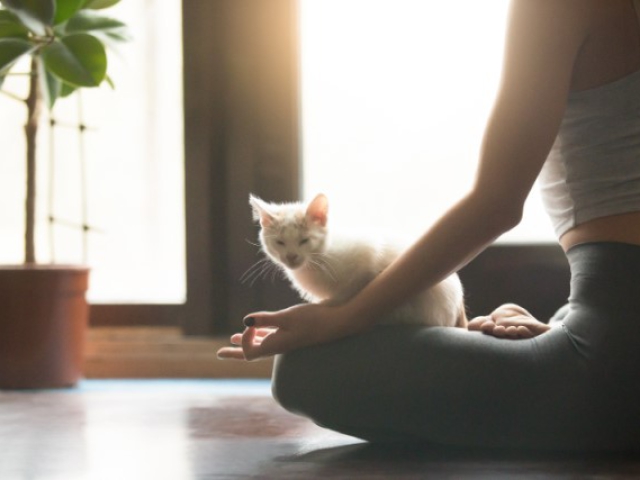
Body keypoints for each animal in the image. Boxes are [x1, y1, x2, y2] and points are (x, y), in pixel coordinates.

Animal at [249, 193, 464, 328]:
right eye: (280, 242)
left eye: (304, 240)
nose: (291, 256)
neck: (320, 259)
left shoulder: (369, 252)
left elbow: (357, 284)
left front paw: (333, 303)